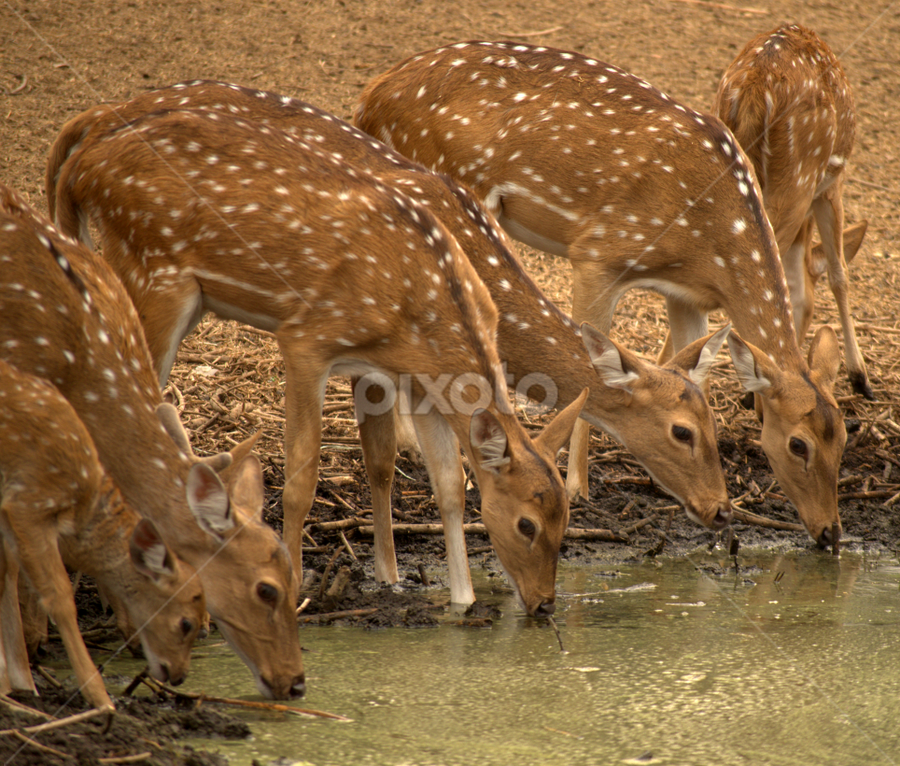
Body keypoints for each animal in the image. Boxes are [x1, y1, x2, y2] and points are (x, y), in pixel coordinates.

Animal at [0, 359, 206, 711]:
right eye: (186, 623)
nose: (180, 675)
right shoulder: (29, 502)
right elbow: (59, 597)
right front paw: (98, 696)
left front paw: (19, 687)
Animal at [43, 80, 733, 603]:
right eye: (683, 431)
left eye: (712, 425)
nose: (721, 508)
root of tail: (87, 131)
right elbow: (366, 455)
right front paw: (361, 577)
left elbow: (401, 463)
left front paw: (398, 577)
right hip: (151, 278)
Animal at [354, 41, 848, 549]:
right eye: (798, 443)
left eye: (845, 440)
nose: (831, 531)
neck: (711, 241)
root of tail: (369, 99)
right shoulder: (598, 252)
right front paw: (578, 487)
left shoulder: (686, 295)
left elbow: (697, 373)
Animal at [713, 23, 871, 398]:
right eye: (811, 313)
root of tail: (753, 87)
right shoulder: (830, 186)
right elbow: (838, 272)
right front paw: (859, 377)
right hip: (800, 174)